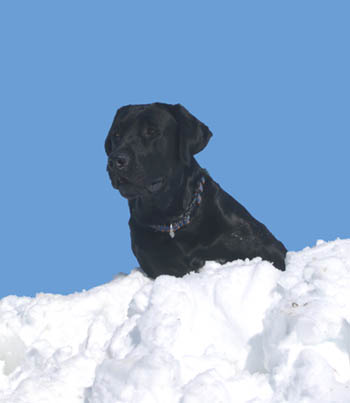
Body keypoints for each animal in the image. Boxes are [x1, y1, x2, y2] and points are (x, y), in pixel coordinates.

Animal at [105, 104, 286, 280]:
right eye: (116, 134)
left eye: (152, 131)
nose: (115, 160)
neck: (171, 219)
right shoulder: (161, 265)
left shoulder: (267, 248)